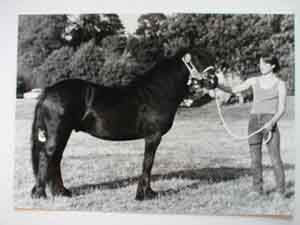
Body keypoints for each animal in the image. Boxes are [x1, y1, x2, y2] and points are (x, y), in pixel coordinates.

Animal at [30, 49, 216, 200]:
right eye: (200, 59)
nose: (215, 80)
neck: (156, 93)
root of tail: (48, 91)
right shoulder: (153, 137)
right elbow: (148, 163)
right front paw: (145, 194)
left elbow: (148, 164)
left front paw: (148, 192)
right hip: (58, 133)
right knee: (47, 156)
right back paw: (41, 194)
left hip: (63, 133)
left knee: (56, 158)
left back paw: (62, 192)